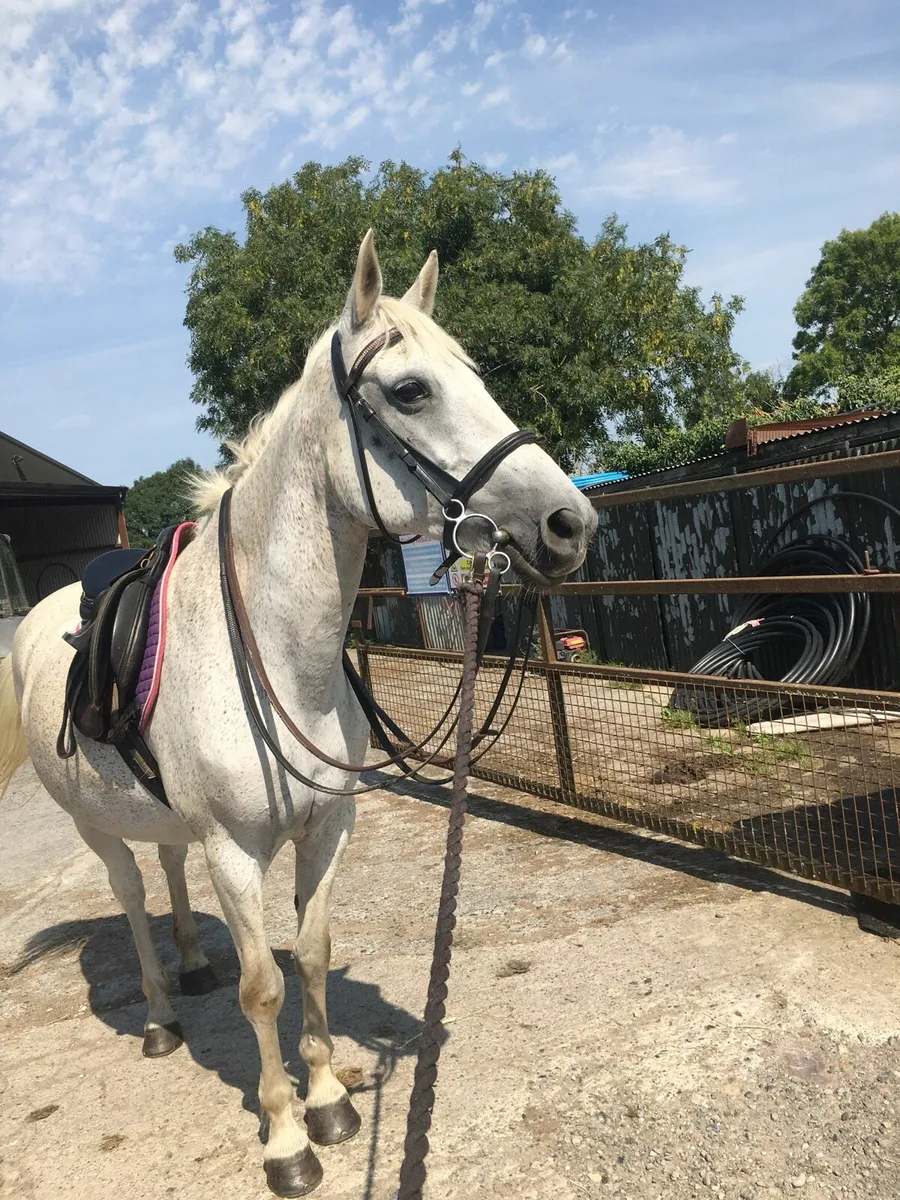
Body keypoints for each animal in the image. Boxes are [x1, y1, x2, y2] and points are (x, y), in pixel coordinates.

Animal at [0, 231, 597, 1196]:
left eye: (472, 373)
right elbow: (263, 990)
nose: (570, 523)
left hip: (170, 823)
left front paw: (330, 1102)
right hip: (95, 826)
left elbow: (310, 957)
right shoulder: (235, 853)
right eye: (411, 390)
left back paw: (191, 965)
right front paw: (286, 1139)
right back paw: (162, 1015)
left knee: (167, 870)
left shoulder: (327, 828)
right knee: (129, 895)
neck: (278, 656)